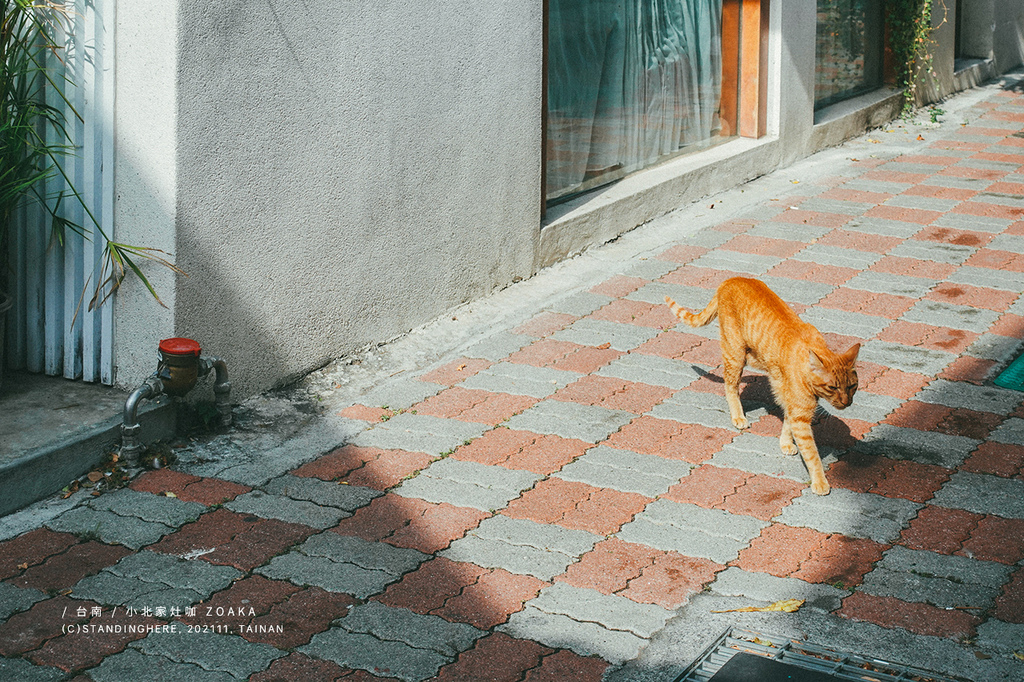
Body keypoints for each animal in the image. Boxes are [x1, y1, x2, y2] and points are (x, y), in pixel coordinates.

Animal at [665, 277, 859, 495]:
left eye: (852, 386)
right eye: (833, 388)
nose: (847, 402)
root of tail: (731, 279)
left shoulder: (792, 404)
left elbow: (787, 423)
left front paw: (785, 443)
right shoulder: (801, 416)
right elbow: (812, 455)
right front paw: (820, 482)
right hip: (735, 354)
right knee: (730, 386)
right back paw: (738, 416)